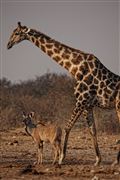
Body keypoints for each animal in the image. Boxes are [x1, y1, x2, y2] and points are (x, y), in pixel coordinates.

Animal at [7, 22, 119, 166]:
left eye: (16, 33)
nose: (8, 44)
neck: (75, 68)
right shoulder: (87, 104)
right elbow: (92, 130)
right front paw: (98, 160)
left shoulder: (80, 101)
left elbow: (67, 128)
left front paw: (61, 158)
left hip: (118, 106)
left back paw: (116, 161)